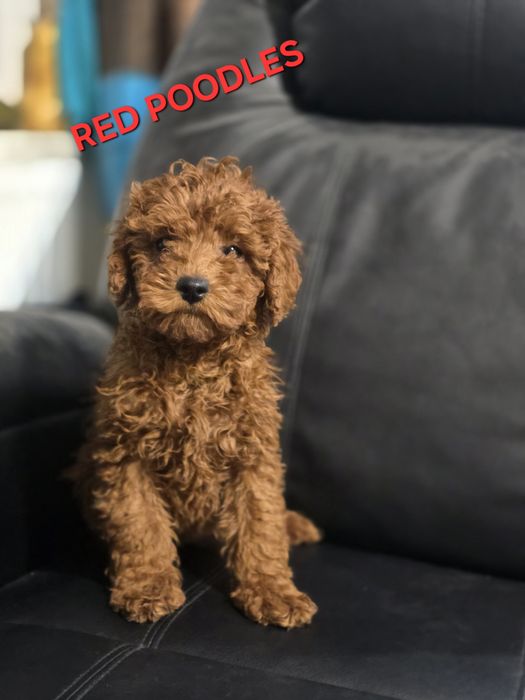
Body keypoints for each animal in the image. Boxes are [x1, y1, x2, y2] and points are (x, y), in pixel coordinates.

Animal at [68, 156, 321, 628]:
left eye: (233, 250)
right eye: (163, 242)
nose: (192, 286)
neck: (193, 359)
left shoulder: (252, 454)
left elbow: (260, 523)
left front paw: (272, 591)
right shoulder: (126, 453)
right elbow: (140, 524)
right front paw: (148, 586)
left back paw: (292, 525)